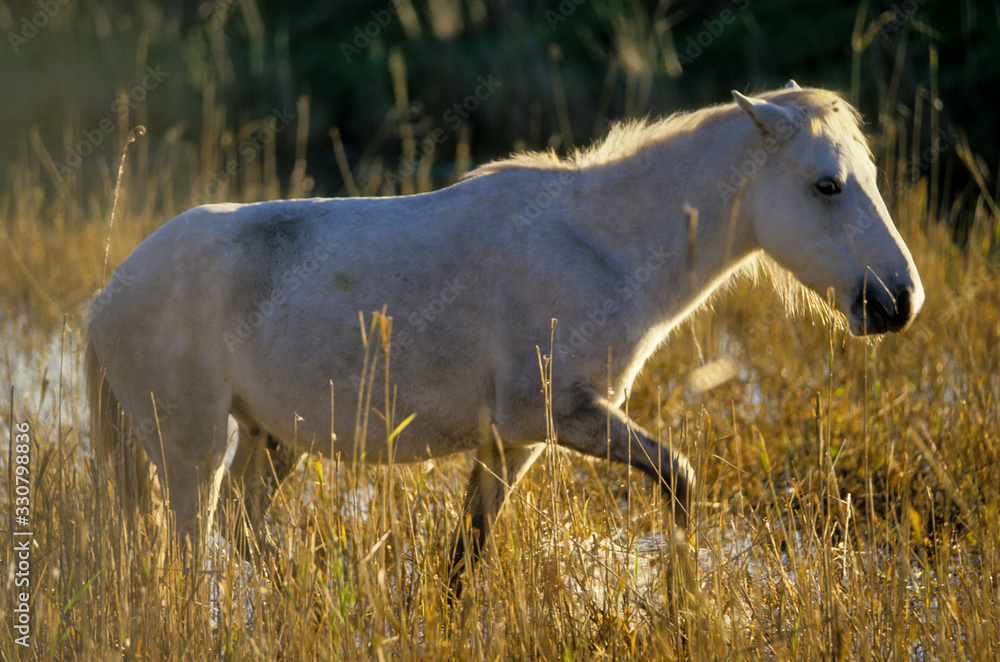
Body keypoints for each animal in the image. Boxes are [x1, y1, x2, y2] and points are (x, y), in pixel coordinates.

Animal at [86, 81, 923, 595]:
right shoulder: (557, 416)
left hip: (271, 441)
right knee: (190, 551)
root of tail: (107, 297)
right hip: (191, 452)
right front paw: (684, 599)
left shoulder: (511, 443)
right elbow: (680, 477)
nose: (898, 301)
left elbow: (465, 555)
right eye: (826, 185)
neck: (596, 244)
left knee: (244, 527)